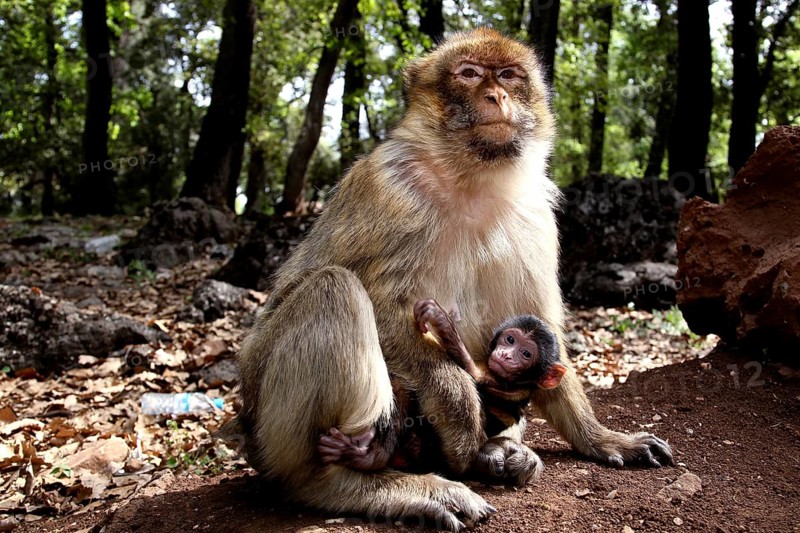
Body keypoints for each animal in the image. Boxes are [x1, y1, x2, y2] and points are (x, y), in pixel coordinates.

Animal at [231, 28, 673, 532]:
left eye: (509, 75)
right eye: (469, 73)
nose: (496, 96)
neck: (472, 177)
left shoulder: (536, 215)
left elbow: (544, 331)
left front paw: (601, 438)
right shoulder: (389, 187)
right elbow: (386, 308)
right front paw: (458, 402)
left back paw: (499, 454)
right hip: (269, 426)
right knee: (334, 289)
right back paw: (353, 482)